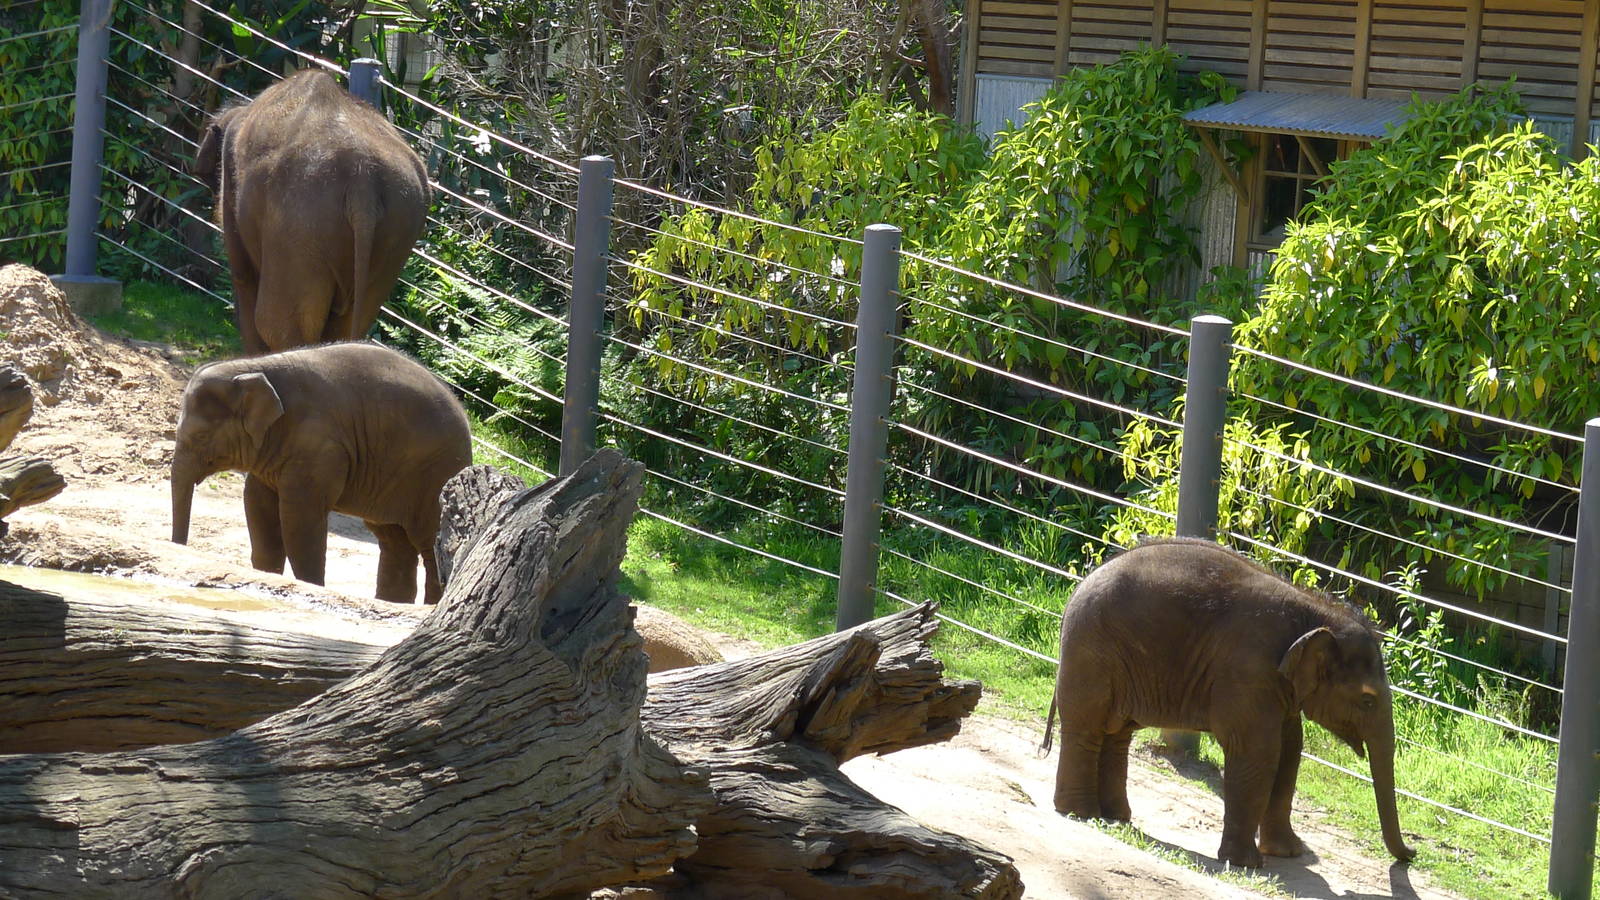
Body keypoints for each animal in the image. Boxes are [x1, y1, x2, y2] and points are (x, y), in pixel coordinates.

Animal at [170, 342, 471, 604]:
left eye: (201, 436)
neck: (254, 367)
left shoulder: (319, 448)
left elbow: (300, 521)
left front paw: (309, 586)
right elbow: (258, 507)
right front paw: (267, 576)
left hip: (435, 476)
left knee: (429, 544)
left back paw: (427, 606)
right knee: (394, 542)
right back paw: (393, 602)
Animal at [194, 69, 429, 354]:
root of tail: (362, 178)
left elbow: (242, 276)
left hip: (299, 228)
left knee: (277, 324)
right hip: (397, 234)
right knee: (351, 321)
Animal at [1049, 537, 1414, 868]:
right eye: (1367, 701)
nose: (1412, 853)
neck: (1313, 612)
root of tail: (1076, 591)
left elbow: (1290, 750)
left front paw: (1287, 854)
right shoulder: (1248, 670)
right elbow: (1259, 751)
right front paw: (1246, 864)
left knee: (1117, 732)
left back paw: (1116, 816)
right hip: (1091, 654)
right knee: (1088, 726)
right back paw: (1080, 812)